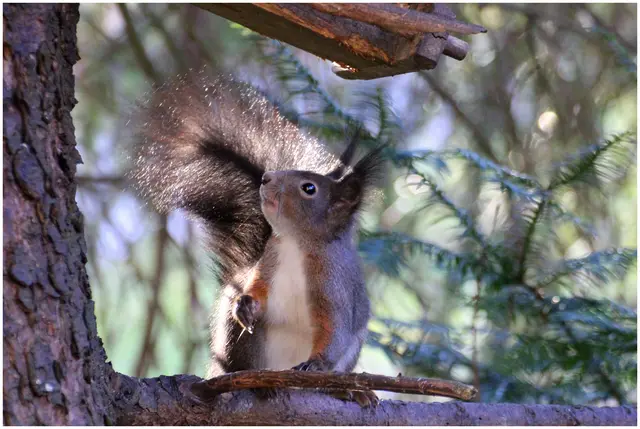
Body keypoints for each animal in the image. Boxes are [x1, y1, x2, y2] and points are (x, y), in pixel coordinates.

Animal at [127, 70, 385, 406]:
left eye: (309, 188)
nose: (267, 178)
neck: (295, 244)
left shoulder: (334, 286)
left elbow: (335, 330)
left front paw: (317, 364)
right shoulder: (268, 262)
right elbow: (257, 290)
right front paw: (246, 304)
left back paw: (345, 390)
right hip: (240, 343)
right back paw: (257, 382)